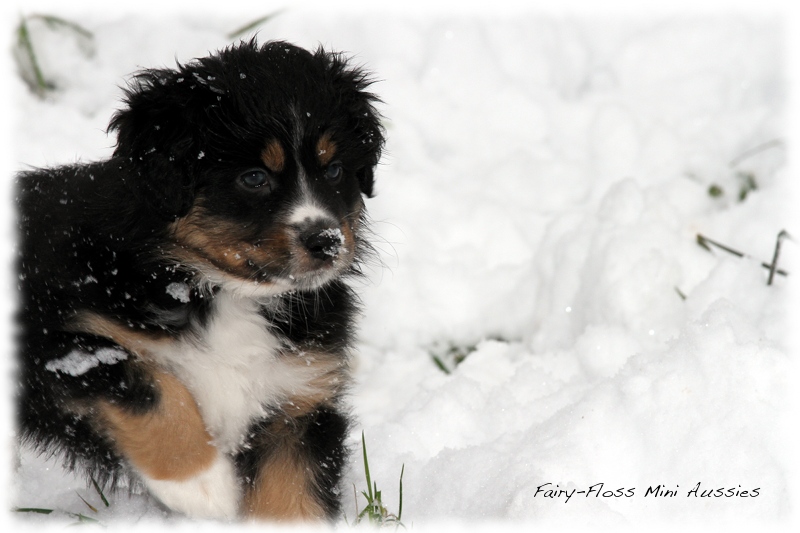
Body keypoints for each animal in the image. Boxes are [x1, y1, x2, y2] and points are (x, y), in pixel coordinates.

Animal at [14, 38, 384, 520]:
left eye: (336, 170)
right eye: (253, 177)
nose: (326, 241)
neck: (219, 289)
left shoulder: (298, 398)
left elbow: (293, 500)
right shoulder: (56, 336)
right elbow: (147, 386)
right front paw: (203, 486)